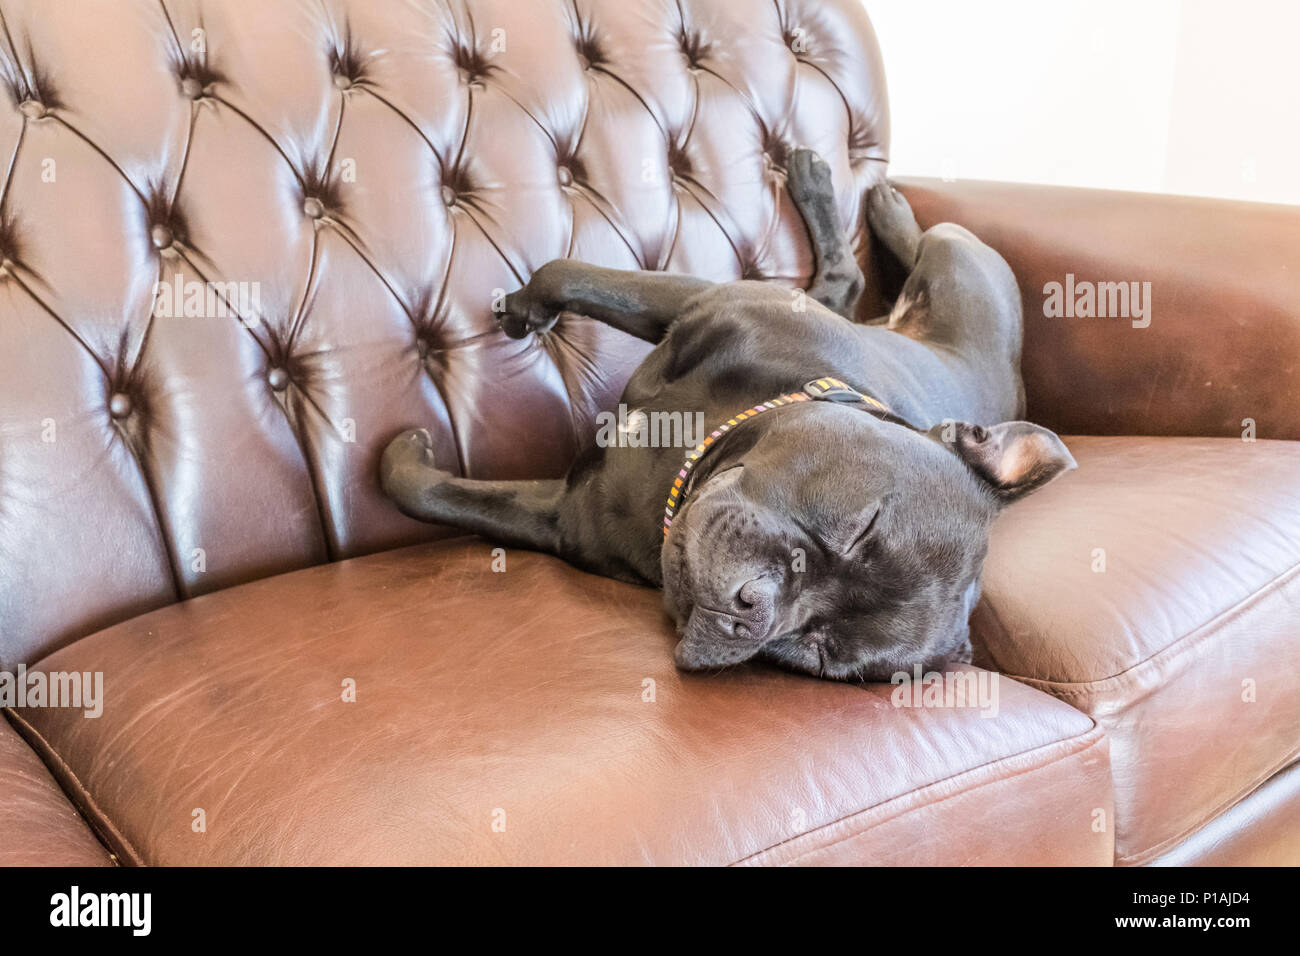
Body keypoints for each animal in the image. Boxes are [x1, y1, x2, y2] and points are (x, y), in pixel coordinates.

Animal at [379, 149, 1071, 681]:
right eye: (863, 527)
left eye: (818, 652)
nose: (752, 611)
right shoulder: (696, 299)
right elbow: (567, 272)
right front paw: (527, 306)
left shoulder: (558, 516)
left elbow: (437, 495)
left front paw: (406, 457)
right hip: (958, 269)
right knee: (897, 253)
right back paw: (875, 199)